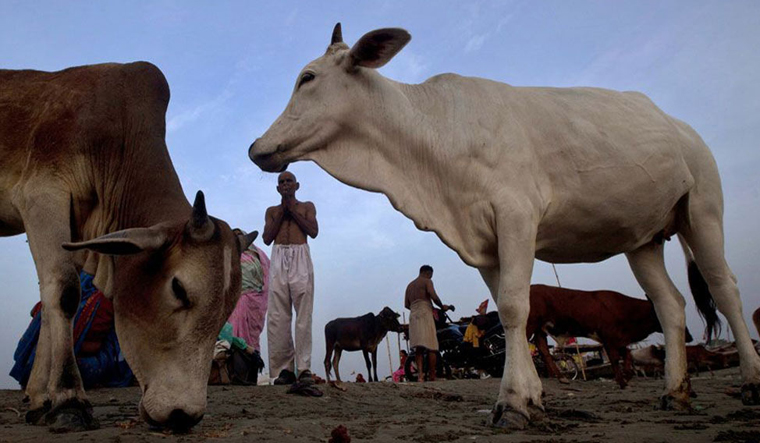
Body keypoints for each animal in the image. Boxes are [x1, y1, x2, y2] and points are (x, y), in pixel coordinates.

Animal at [0, 63, 255, 434]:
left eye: (228, 308)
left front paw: (40, 400)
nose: (183, 415)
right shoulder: (41, 196)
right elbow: (63, 293)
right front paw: (68, 400)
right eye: (178, 288)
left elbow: (48, 303)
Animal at [528, 286, 696, 390]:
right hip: (530, 324)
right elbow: (615, 359)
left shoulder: (617, 340)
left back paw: (561, 377)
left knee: (543, 350)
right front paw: (621, 381)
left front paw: (627, 377)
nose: (689, 336)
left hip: (540, 329)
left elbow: (627, 355)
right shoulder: (608, 338)